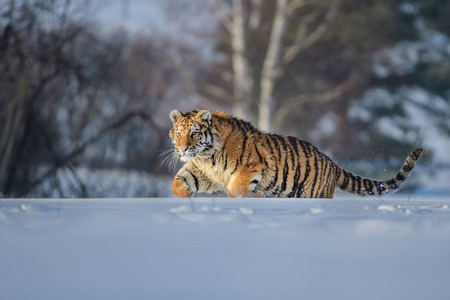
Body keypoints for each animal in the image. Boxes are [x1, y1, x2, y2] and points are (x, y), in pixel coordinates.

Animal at [167, 109, 424, 198]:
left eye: (194, 133)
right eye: (179, 133)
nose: (183, 148)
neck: (206, 156)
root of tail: (331, 162)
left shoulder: (251, 167)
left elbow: (235, 189)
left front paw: (256, 196)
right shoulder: (201, 170)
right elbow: (176, 184)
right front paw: (186, 194)